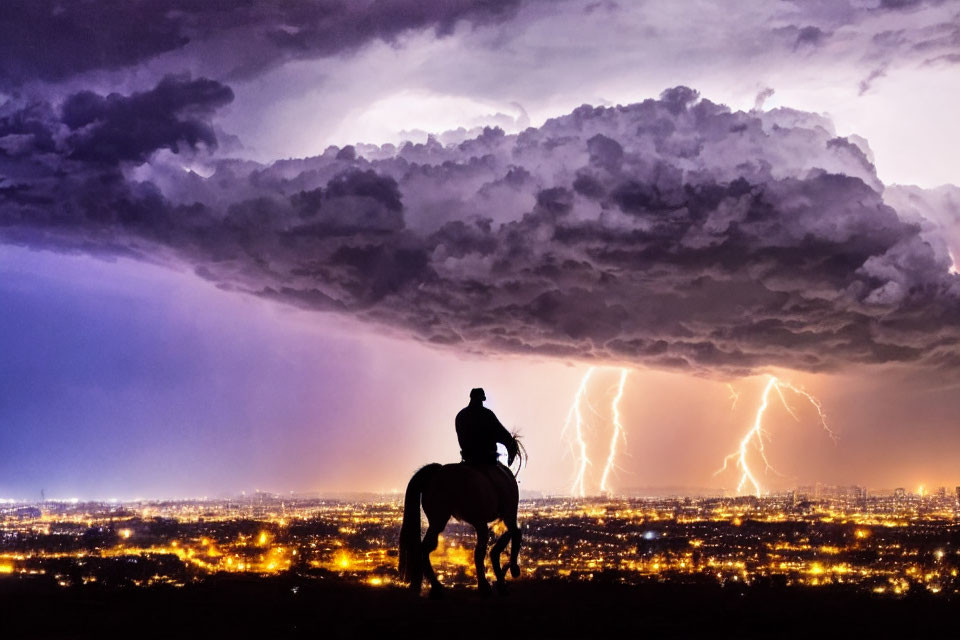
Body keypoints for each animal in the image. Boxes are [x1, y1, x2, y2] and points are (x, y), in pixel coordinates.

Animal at [402, 432, 528, 596]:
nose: (512, 456)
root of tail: (436, 473)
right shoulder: (508, 513)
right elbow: (515, 533)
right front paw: (511, 569)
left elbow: (506, 536)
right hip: (465, 520)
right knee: (482, 547)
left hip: (439, 520)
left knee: (427, 547)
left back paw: (437, 587)